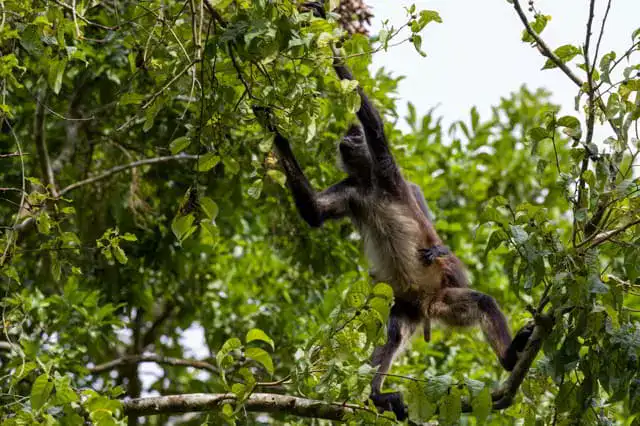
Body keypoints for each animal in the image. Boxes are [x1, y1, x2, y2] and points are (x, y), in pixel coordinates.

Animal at [252, 3, 534, 421]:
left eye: (354, 136)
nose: (345, 141)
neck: (370, 184)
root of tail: (428, 306)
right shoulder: (351, 190)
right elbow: (315, 214)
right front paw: (275, 132)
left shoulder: (388, 170)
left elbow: (375, 124)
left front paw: (330, 40)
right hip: (406, 308)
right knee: (392, 334)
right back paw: (376, 395)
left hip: (445, 299)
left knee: (481, 303)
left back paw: (509, 357)